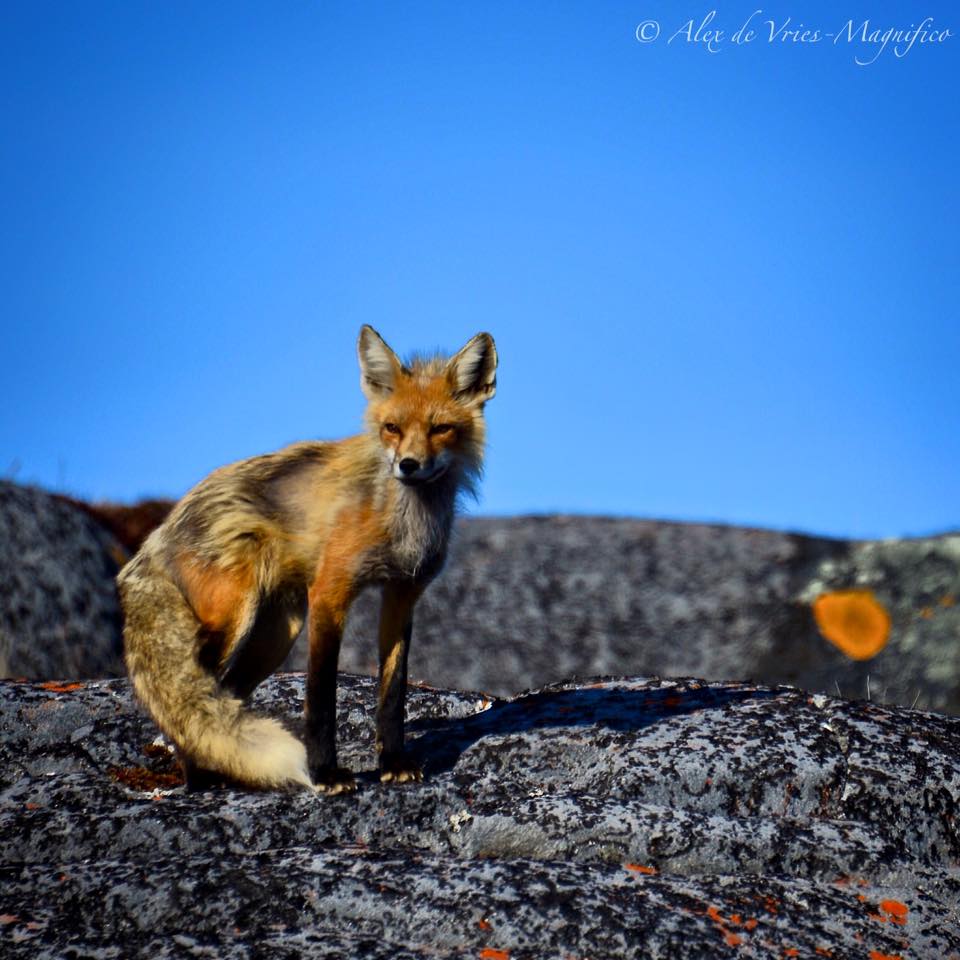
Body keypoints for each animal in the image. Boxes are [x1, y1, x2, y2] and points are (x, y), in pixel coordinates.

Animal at [118, 325, 497, 793]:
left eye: (440, 428)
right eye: (392, 428)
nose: (408, 465)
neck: (404, 520)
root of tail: (157, 534)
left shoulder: (401, 595)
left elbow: (393, 693)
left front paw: (394, 762)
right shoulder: (330, 593)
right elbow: (320, 697)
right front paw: (326, 774)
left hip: (276, 634)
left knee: (225, 701)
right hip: (234, 620)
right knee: (192, 703)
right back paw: (202, 779)